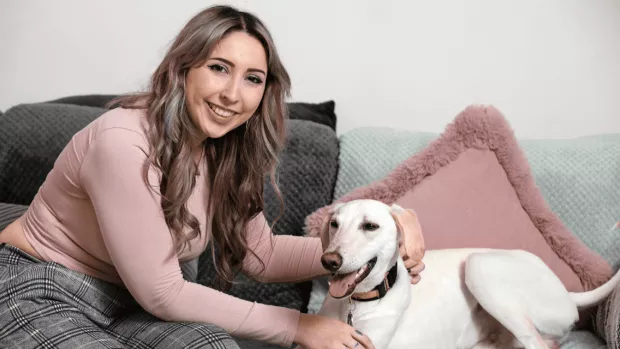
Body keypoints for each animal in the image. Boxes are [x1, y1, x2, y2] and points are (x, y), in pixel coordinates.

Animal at [314, 198, 620, 348]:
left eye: (370, 226)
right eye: (334, 224)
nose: (329, 261)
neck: (356, 304)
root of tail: (566, 292)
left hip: (478, 267)